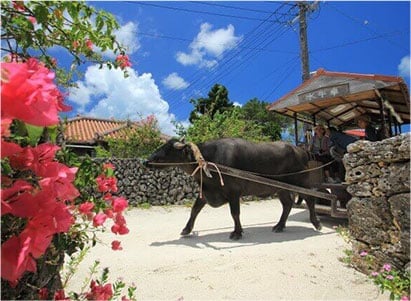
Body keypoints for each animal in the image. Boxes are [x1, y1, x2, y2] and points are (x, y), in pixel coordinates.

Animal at [145, 138, 322, 239]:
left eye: (168, 149)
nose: (147, 161)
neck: (211, 160)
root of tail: (301, 150)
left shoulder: (233, 192)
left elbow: (235, 213)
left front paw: (237, 232)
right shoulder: (206, 192)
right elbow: (194, 210)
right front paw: (186, 230)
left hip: (301, 183)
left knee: (310, 198)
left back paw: (316, 224)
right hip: (282, 189)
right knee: (287, 204)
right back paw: (279, 226)